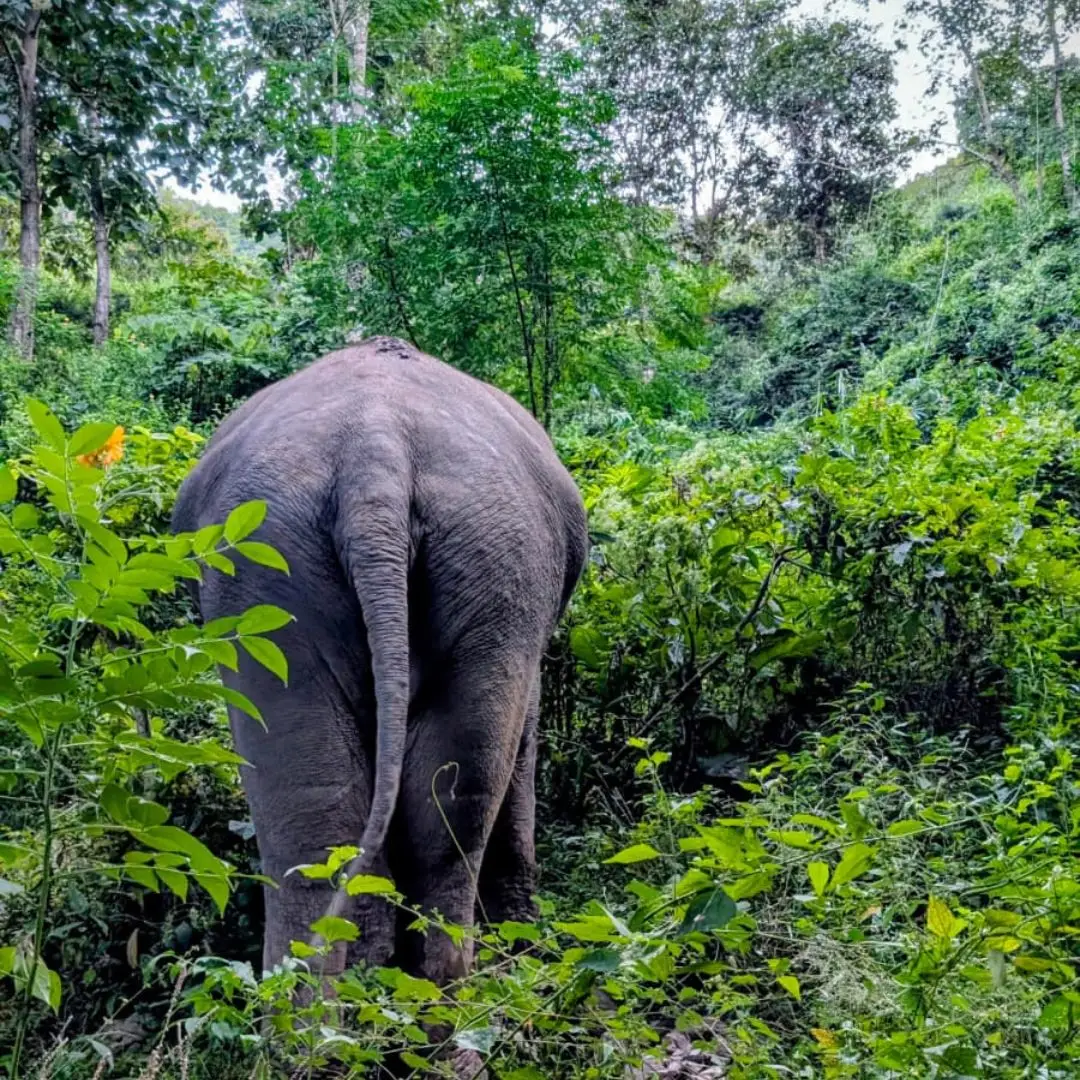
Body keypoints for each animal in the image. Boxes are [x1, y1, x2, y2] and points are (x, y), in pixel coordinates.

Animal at [171, 336, 588, 989]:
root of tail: (376, 461)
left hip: (274, 575)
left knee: (318, 821)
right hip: (498, 571)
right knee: (451, 806)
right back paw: (436, 1004)